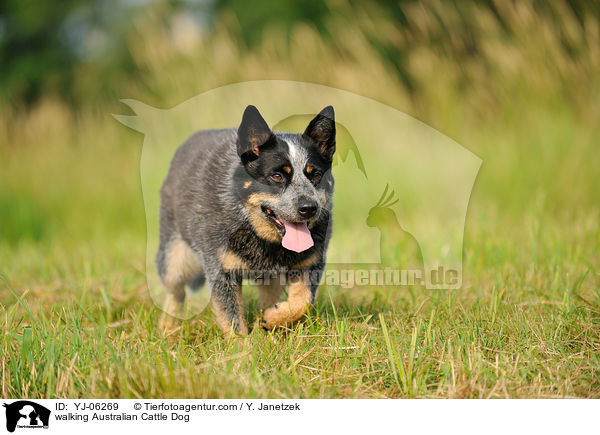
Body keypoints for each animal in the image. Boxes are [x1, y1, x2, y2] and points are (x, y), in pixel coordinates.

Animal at [156, 104, 338, 334]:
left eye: (315, 174)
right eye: (277, 176)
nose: (309, 208)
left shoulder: (309, 263)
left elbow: (303, 302)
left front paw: (273, 318)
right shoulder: (222, 271)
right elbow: (232, 318)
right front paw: (243, 344)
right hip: (176, 257)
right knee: (175, 292)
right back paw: (166, 328)